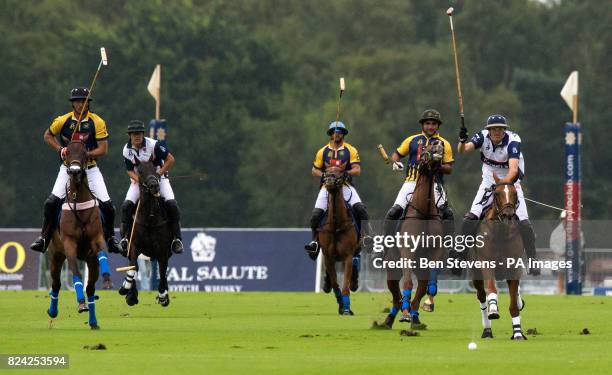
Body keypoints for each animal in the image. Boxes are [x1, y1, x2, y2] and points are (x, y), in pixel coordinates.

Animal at [46, 135, 107, 328]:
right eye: (68, 152)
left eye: (84, 153)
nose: (73, 171)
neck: (78, 199)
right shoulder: (69, 244)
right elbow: (76, 274)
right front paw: (81, 303)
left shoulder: (96, 238)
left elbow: (103, 255)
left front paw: (108, 278)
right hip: (55, 255)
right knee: (56, 284)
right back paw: (53, 310)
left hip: (89, 259)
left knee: (91, 288)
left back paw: (93, 321)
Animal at [117, 159, 172, 308]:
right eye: (140, 171)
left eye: (154, 169)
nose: (154, 186)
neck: (150, 218)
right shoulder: (134, 245)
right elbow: (133, 265)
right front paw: (128, 290)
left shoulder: (163, 250)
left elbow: (162, 271)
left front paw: (163, 296)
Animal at [470, 173, 528, 340]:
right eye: (496, 194)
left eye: (515, 194)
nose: (508, 215)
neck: (501, 233)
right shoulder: (486, 263)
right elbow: (491, 288)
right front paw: (493, 309)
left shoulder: (514, 267)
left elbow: (514, 303)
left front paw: (517, 332)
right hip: (475, 272)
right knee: (482, 296)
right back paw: (487, 329)